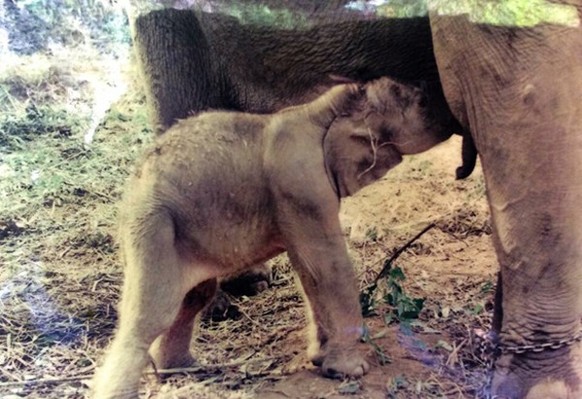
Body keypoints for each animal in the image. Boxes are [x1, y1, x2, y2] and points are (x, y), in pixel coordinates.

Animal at [93, 76, 454, 398]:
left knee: (194, 296)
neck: (319, 109)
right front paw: (351, 371)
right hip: (152, 225)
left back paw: (181, 368)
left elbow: (309, 273)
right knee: (153, 311)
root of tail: (130, 188)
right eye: (421, 102)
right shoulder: (301, 187)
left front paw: (320, 359)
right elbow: (328, 267)